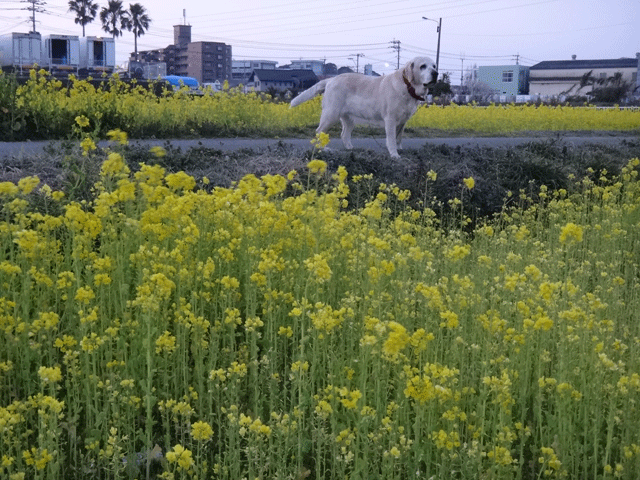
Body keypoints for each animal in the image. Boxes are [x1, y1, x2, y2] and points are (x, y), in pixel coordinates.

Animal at [292, 56, 438, 158]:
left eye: (434, 66)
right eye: (423, 66)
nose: (436, 73)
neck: (408, 87)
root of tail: (331, 79)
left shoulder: (403, 121)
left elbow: (399, 137)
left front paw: (399, 149)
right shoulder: (390, 119)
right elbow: (391, 139)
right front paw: (394, 154)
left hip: (348, 119)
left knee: (344, 134)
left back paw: (350, 148)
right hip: (331, 114)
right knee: (319, 131)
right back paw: (323, 149)